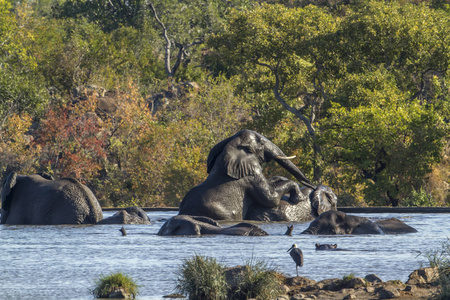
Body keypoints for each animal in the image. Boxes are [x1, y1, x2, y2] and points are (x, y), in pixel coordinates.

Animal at [178, 129, 336, 223]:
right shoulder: (250, 172)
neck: (231, 143)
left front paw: (280, 179)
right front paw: (299, 197)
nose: (312, 185)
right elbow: (270, 198)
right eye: (261, 143)